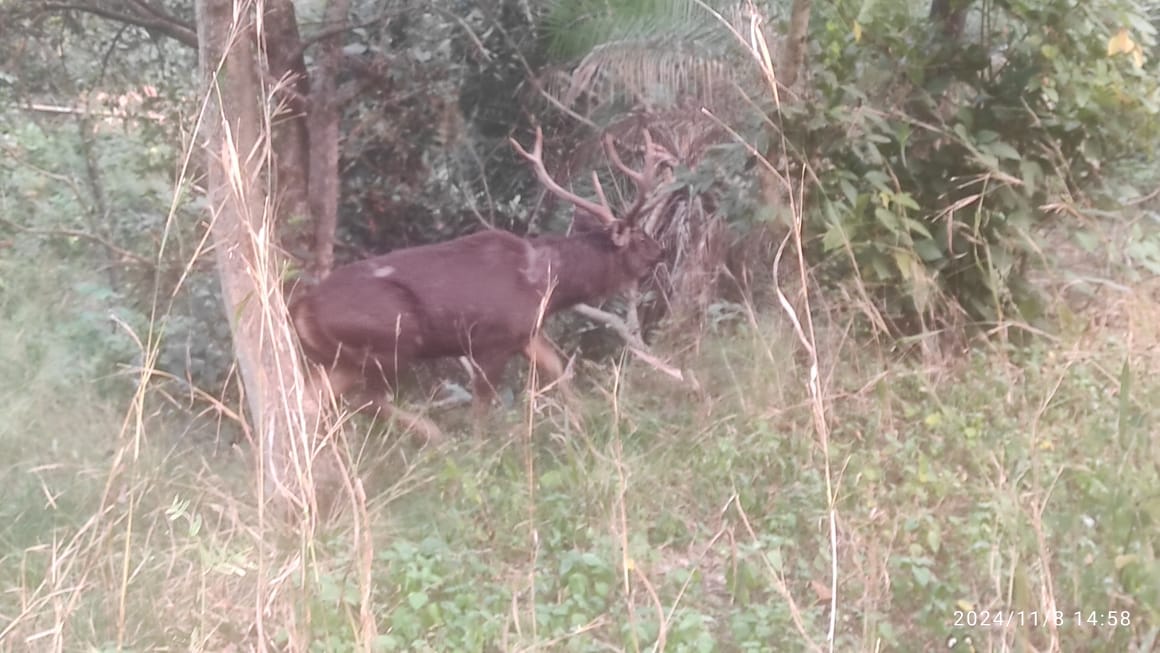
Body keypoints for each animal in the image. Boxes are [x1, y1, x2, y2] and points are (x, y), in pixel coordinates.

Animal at [289, 127, 668, 442]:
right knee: (366, 397)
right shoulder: (489, 340)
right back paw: (435, 436)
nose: (661, 251)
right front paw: (481, 450)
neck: (545, 282)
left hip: (344, 356)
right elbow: (482, 407)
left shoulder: (525, 333)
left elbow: (558, 369)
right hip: (390, 338)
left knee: (312, 397)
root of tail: (302, 308)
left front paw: (583, 419)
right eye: (639, 238)